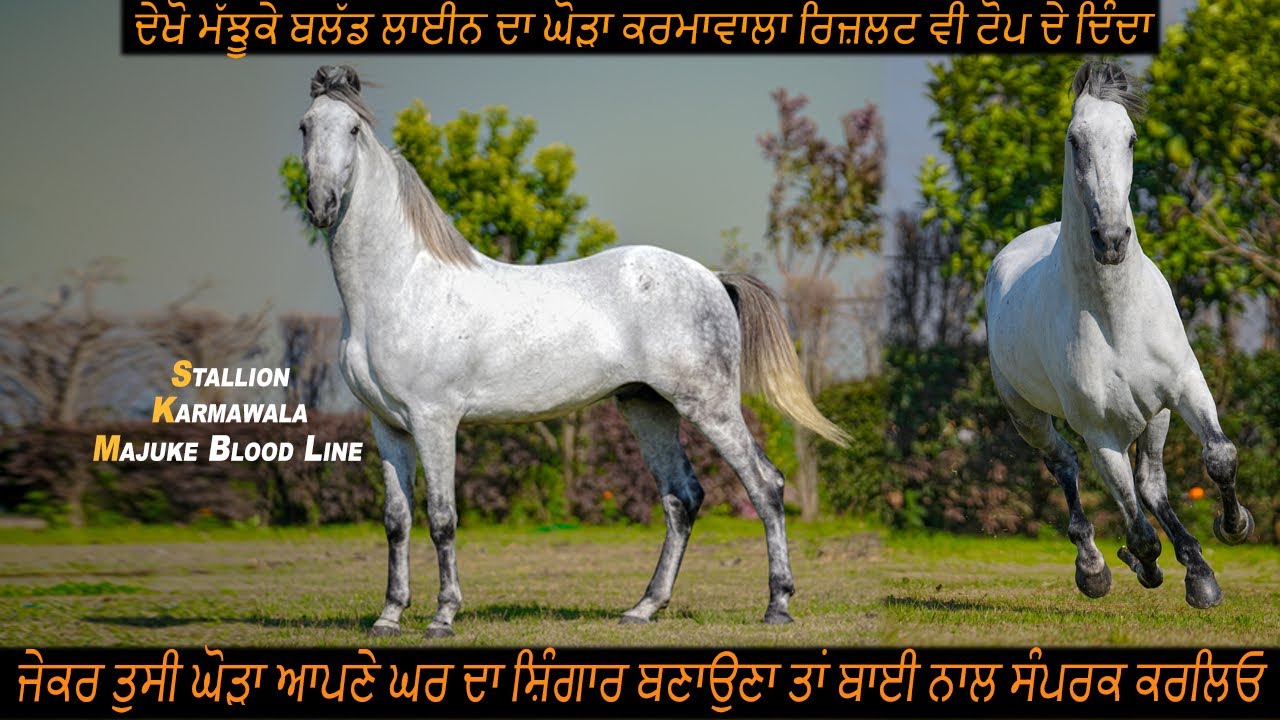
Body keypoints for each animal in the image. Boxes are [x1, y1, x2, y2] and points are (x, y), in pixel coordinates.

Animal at [298, 65, 849, 638]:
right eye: (305, 126)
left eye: (354, 129)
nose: (322, 205)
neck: (401, 286)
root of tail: (711, 278)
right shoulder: (388, 426)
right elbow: (397, 520)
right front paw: (388, 617)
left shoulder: (434, 421)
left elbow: (442, 518)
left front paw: (443, 617)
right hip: (647, 407)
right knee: (682, 498)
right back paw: (643, 607)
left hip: (710, 406)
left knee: (765, 485)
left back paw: (777, 604)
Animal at [985, 61, 1254, 609]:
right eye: (1075, 139)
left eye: (1130, 138)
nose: (1110, 239)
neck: (1115, 317)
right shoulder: (1101, 434)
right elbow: (1139, 529)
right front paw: (1144, 565)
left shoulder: (1186, 387)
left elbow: (1219, 457)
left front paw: (1233, 527)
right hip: (1027, 416)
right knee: (1065, 465)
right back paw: (1096, 567)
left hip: (1156, 414)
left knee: (1150, 484)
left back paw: (1196, 565)